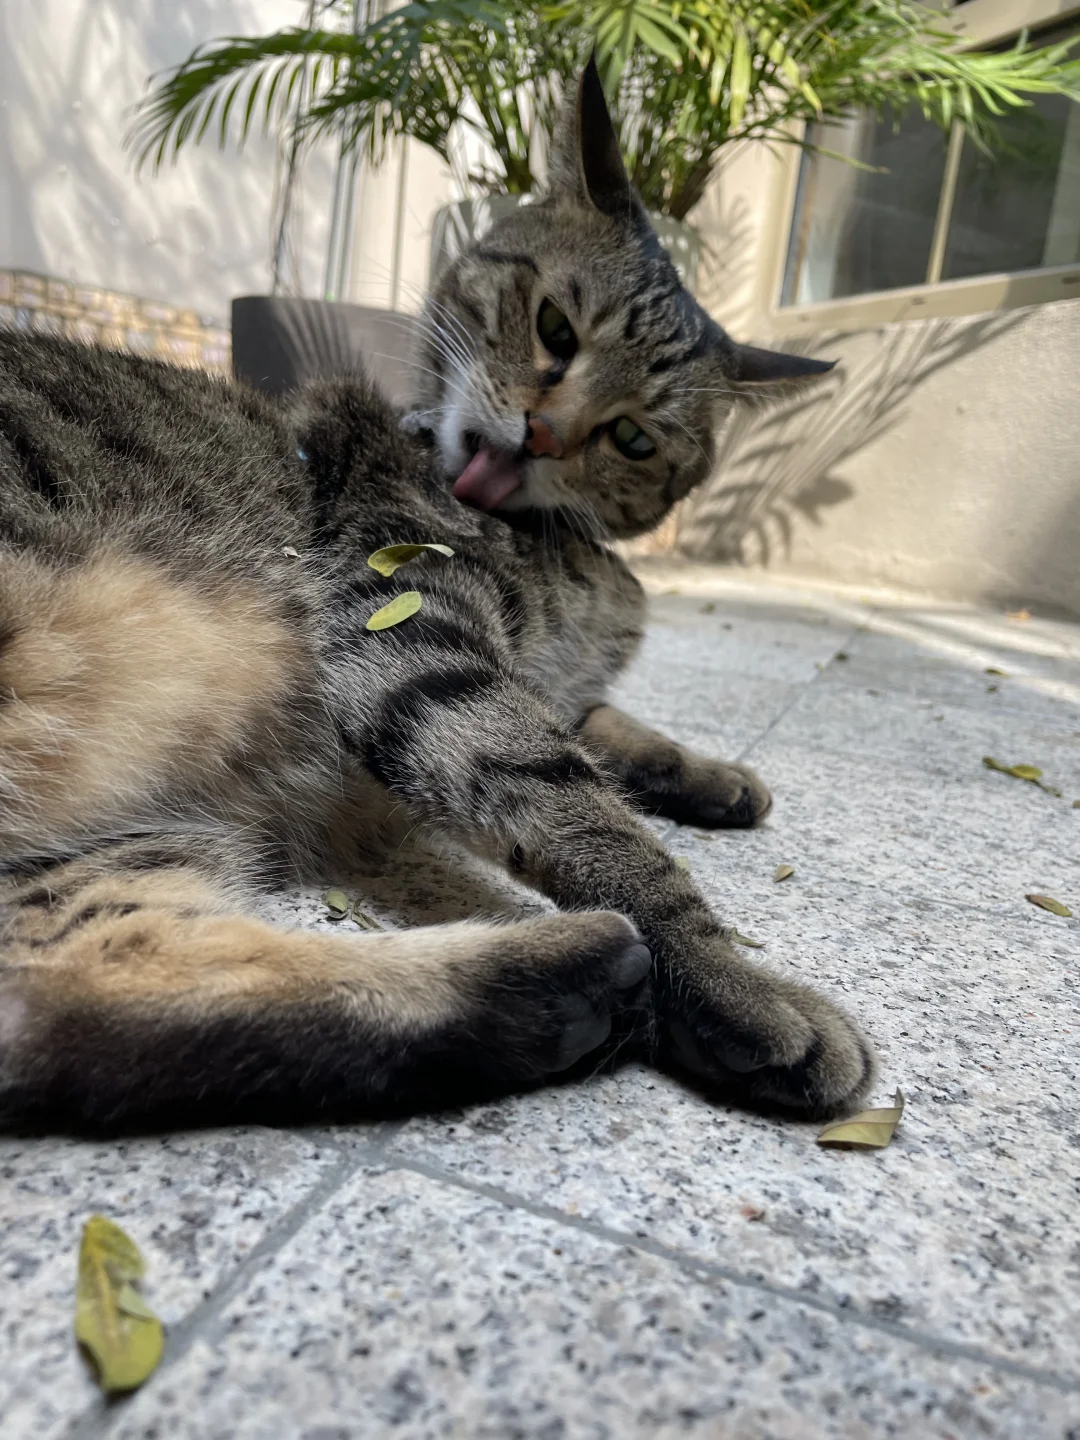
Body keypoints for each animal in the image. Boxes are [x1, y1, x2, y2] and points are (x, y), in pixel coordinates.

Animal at [0, 60, 873, 1130]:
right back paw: (591, 976)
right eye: (554, 328)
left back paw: (563, 990)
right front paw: (738, 980)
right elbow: (586, 808)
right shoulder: (414, 635)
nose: (541, 435)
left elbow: (608, 727)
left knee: (79, 1001)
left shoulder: (542, 675)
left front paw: (715, 774)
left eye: (632, 437)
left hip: (109, 853)